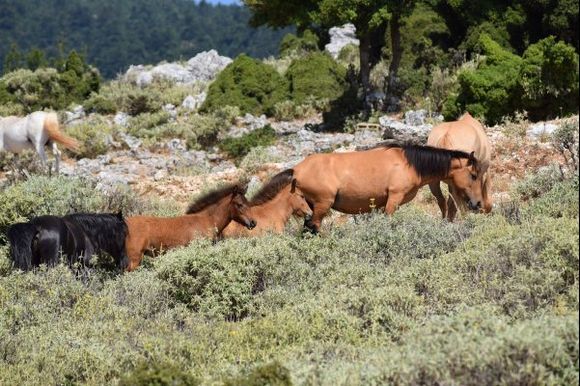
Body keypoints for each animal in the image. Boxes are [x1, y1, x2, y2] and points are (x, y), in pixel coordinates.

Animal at [292, 142, 482, 232]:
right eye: (473, 175)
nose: (477, 203)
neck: (408, 164)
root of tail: (297, 170)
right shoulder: (394, 199)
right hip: (322, 205)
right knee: (314, 226)